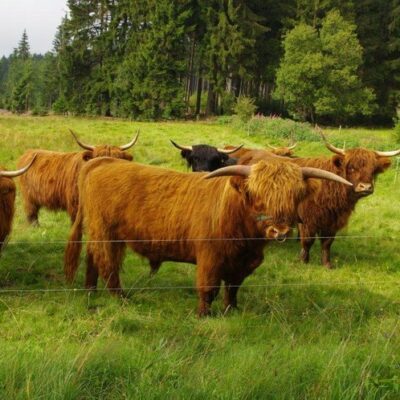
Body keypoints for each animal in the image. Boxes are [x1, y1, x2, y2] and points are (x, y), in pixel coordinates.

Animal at [64, 156, 352, 316]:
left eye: (295, 195)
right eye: (256, 196)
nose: (279, 231)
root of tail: (101, 161)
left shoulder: (243, 264)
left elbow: (233, 288)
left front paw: (232, 310)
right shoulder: (209, 258)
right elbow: (208, 288)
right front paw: (204, 315)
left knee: (93, 259)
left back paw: (91, 291)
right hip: (106, 233)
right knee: (107, 263)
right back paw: (119, 297)